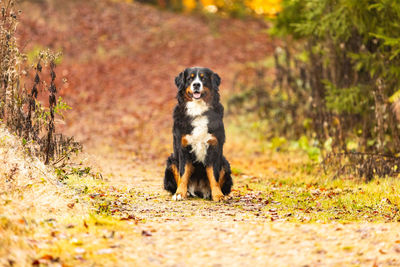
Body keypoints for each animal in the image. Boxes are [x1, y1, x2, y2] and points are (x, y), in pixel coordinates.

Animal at [163, 66, 233, 201]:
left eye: (203, 78)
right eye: (190, 78)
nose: (196, 84)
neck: (198, 110)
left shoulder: (214, 147)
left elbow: (214, 175)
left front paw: (218, 195)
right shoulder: (183, 147)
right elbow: (183, 173)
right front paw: (180, 193)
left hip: (225, 163)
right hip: (171, 161)